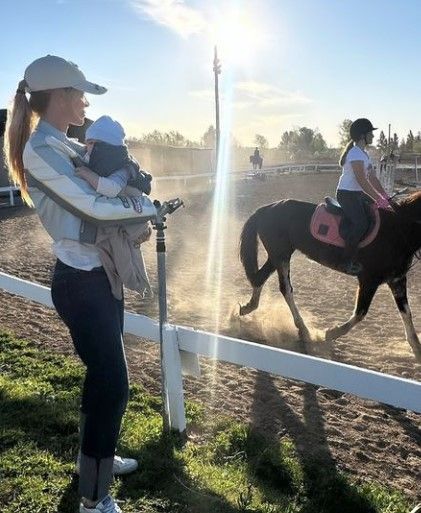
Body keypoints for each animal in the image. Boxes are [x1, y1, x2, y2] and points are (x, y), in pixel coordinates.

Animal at [238, 190, 420, 362]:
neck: (398, 230)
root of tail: (266, 208)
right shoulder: (369, 280)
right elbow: (360, 313)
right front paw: (331, 333)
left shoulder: (397, 280)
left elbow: (406, 313)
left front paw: (417, 349)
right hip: (281, 255)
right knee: (286, 289)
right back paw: (303, 329)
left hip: (277, 255)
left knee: (260, 278)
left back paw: (248, 307)